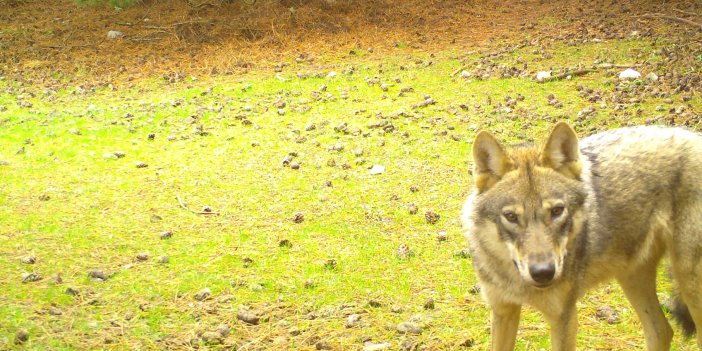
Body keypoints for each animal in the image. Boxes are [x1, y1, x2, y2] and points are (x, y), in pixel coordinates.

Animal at [464, 122, 702, 350]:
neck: (518, 283)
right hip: (632, 276)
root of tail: (694, 136)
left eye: (557, 211)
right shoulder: (503, 310)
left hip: (689, 286)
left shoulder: (564, 318)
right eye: (511, 217)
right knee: (662, 331)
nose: (543, 273)